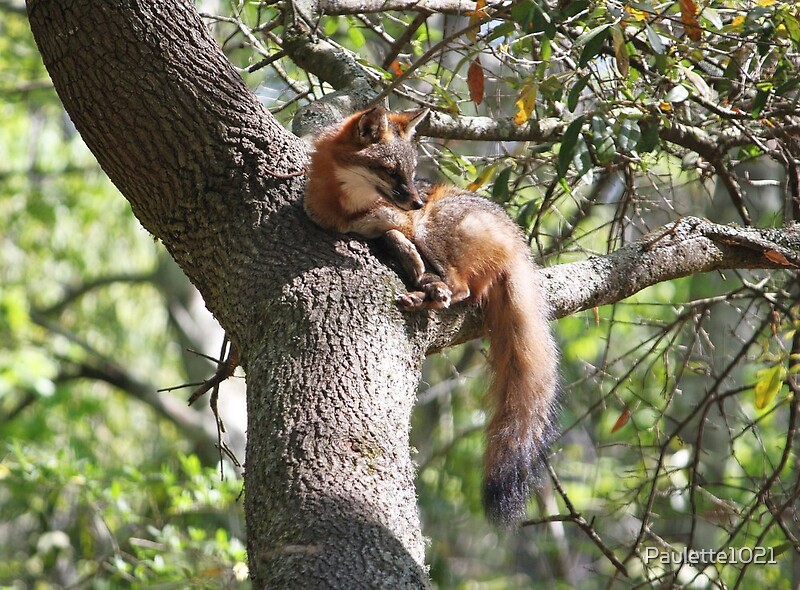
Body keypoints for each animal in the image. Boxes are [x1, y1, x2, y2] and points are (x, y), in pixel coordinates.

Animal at [303, 107, 560, 525]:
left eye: (411, 172)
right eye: (392, 172)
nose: (416, 200)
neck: (347, 207)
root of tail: (519, 245)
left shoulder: (405, 222)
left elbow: (394, 235)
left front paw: (416, 268)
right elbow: (387, 236)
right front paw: (412, 264)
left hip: (433, 228)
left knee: (461, 288)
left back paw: (427, 293)